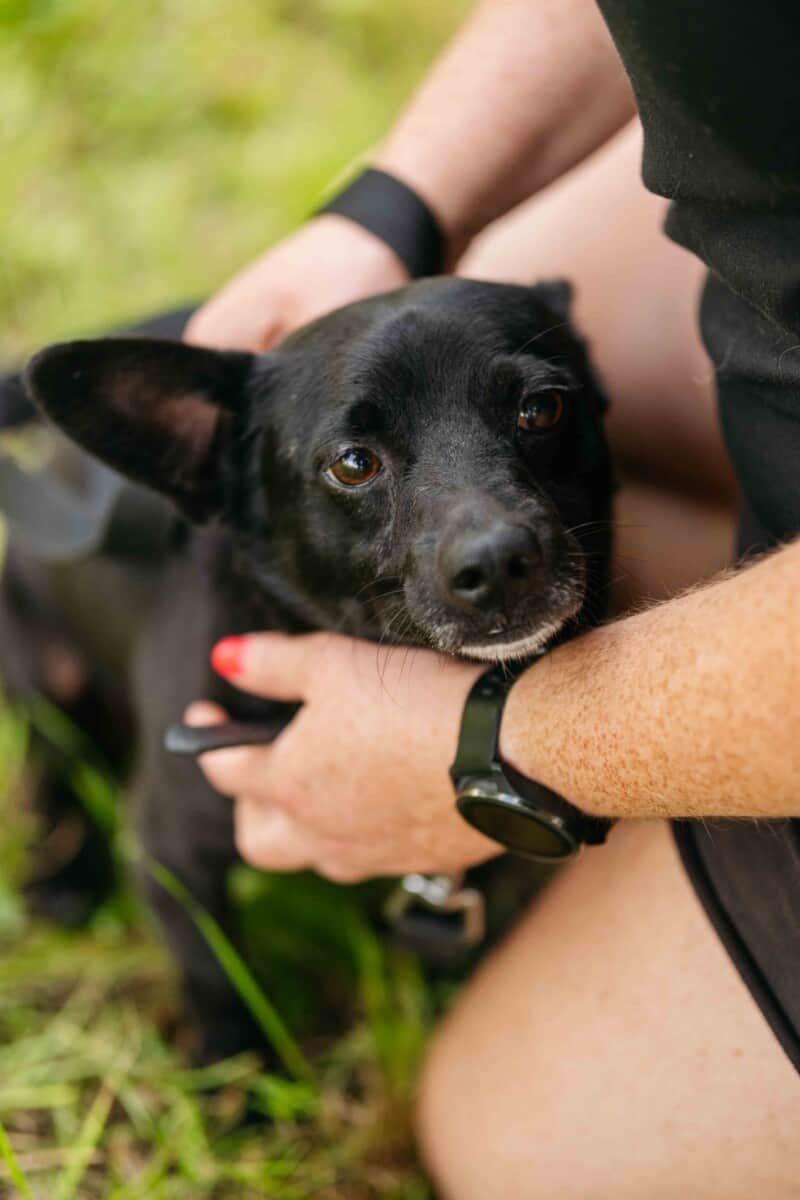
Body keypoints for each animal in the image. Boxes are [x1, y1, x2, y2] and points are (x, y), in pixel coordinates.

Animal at [1, 278, 613, 1062]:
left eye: (542, 408)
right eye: (353, 463)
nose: (500, 560)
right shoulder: (171, 854)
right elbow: (215, 980)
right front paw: (237, 1074)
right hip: (46, 673)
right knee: (54, 763)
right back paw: (67, 874)